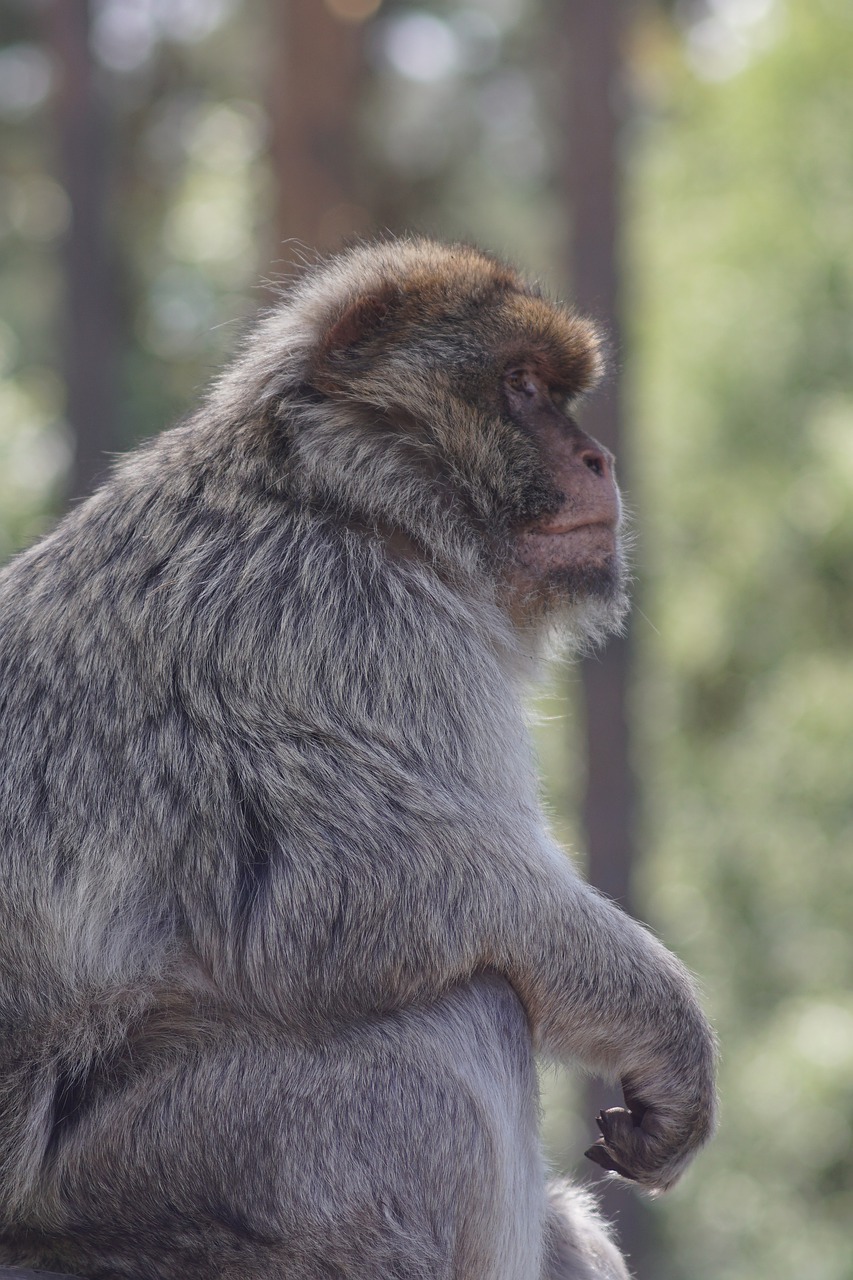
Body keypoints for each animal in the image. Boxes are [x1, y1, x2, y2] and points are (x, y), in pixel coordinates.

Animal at [0, 240, 717, 1280]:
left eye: (555, 392)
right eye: (521, 388)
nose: (599, 460)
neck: (345, 502)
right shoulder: (359, 627)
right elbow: (346, 894)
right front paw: (662, 1019)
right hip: (186, 1163)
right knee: (460, 1009)